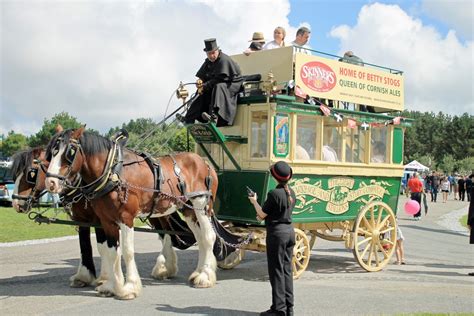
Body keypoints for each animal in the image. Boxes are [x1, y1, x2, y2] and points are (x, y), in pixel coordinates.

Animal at [44, 126, 220, 298]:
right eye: (52, 152)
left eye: (70, 152)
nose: (50, 182)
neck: (113, 173)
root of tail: (204, 162)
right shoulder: (107, 221)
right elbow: (111, 252)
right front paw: (111, 286)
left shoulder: (126, 218)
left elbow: (127, 251)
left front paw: (129, 287)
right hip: (188, 209)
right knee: (200, 237)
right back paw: (198, 273)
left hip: (202, 205)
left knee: (208, 236)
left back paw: (205, 276)